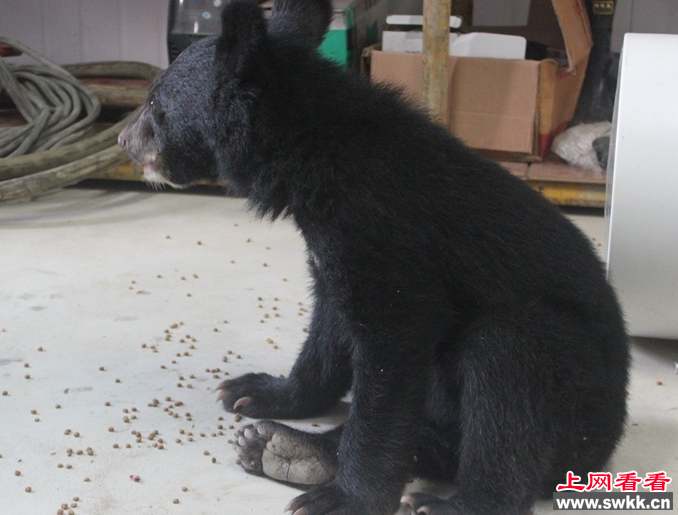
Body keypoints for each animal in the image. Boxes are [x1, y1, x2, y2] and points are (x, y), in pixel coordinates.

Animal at [117, 0, 630, 514]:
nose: (122, 139)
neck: (313, 157)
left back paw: (452, 501)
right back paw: (286, 448)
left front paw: (346, 497)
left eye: (156, 104)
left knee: (506, 360)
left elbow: (390, 357)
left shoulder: (383, 236)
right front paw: (259, 391)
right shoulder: (333, 248)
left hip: (575, 395)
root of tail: (607, 441)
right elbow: (330, 323)